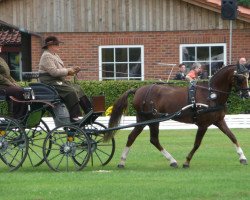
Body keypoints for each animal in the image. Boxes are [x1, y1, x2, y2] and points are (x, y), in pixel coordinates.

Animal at [104, 65, 249, 168]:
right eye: (240, 78)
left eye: (248, 77)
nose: (246, 95)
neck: (211, 94)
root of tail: (138, 90)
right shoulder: (203, 125)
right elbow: (197, 143)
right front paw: (187, 161)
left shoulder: (219, 121)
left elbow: (232, 136)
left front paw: (242, 158)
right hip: (150, 119)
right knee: (148, 139)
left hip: (146, 120)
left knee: (138, 138)